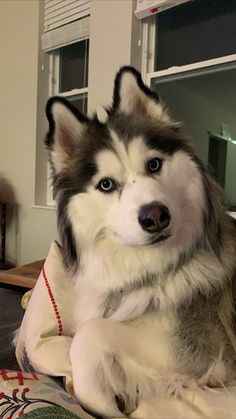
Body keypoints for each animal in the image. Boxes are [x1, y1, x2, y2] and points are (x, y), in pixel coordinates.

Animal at [45, 67, 236, 418]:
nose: (156, 217)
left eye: (154, 164)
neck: (149, 270)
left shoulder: (206, 355)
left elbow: (89, 334)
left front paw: (101, 401)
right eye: (106, 184)